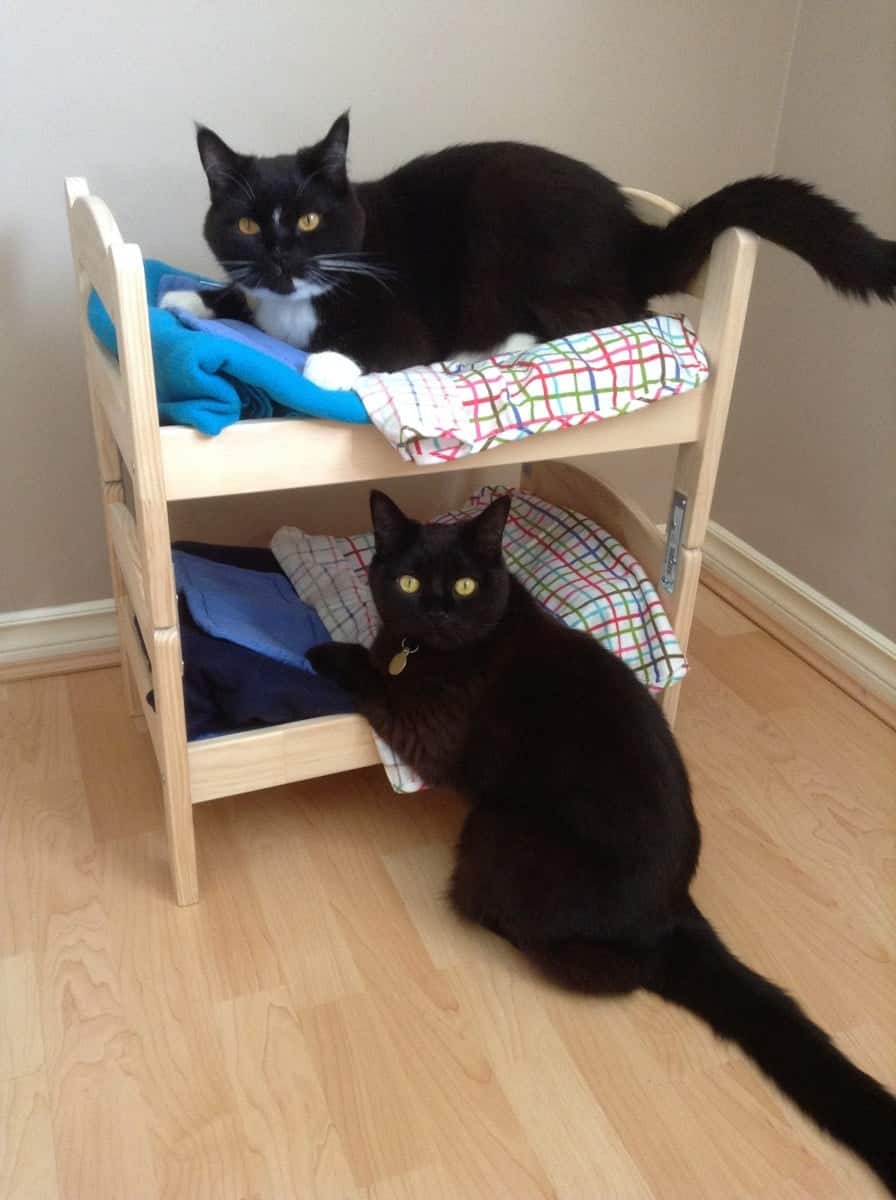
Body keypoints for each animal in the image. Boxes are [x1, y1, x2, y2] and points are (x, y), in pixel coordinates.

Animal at [163, 111, 896, 386]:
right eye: (248, 227)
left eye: (311, 220)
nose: (283, 259)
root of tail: (634, 230)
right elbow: (239, 298)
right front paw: (189, 298)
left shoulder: (401, 319)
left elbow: (371, 348)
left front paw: (327, 365)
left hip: (509, 225)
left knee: (611, 316)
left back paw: (488, 349)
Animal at [307, 487, 896, 1190]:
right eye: (409, 582)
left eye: (466, 584)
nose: (439, 612)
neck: (432, 649)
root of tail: (674, 912)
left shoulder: (424, 729)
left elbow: (373, 674)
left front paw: (327, 653)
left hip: (497, 829)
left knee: (603, 965)